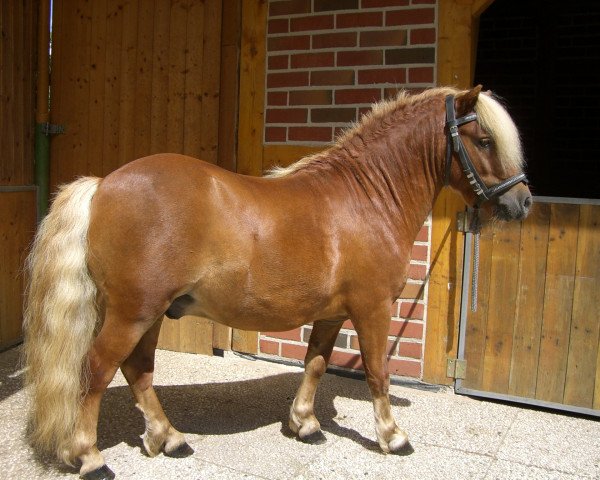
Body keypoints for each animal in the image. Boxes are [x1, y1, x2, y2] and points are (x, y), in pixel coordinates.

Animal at [22, 86, 528, 480]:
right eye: (484, 139)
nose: (522, 203)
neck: (367, 198)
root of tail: (102, 185)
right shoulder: (372, 308)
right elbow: (376, 372)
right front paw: (393, 436)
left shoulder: (331, 314)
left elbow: (315, 364)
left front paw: (305, 425)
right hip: (133, 312)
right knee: (98, 370)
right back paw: (91, 458)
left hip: (150, 313)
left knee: (138, 370)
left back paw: (168, 438)